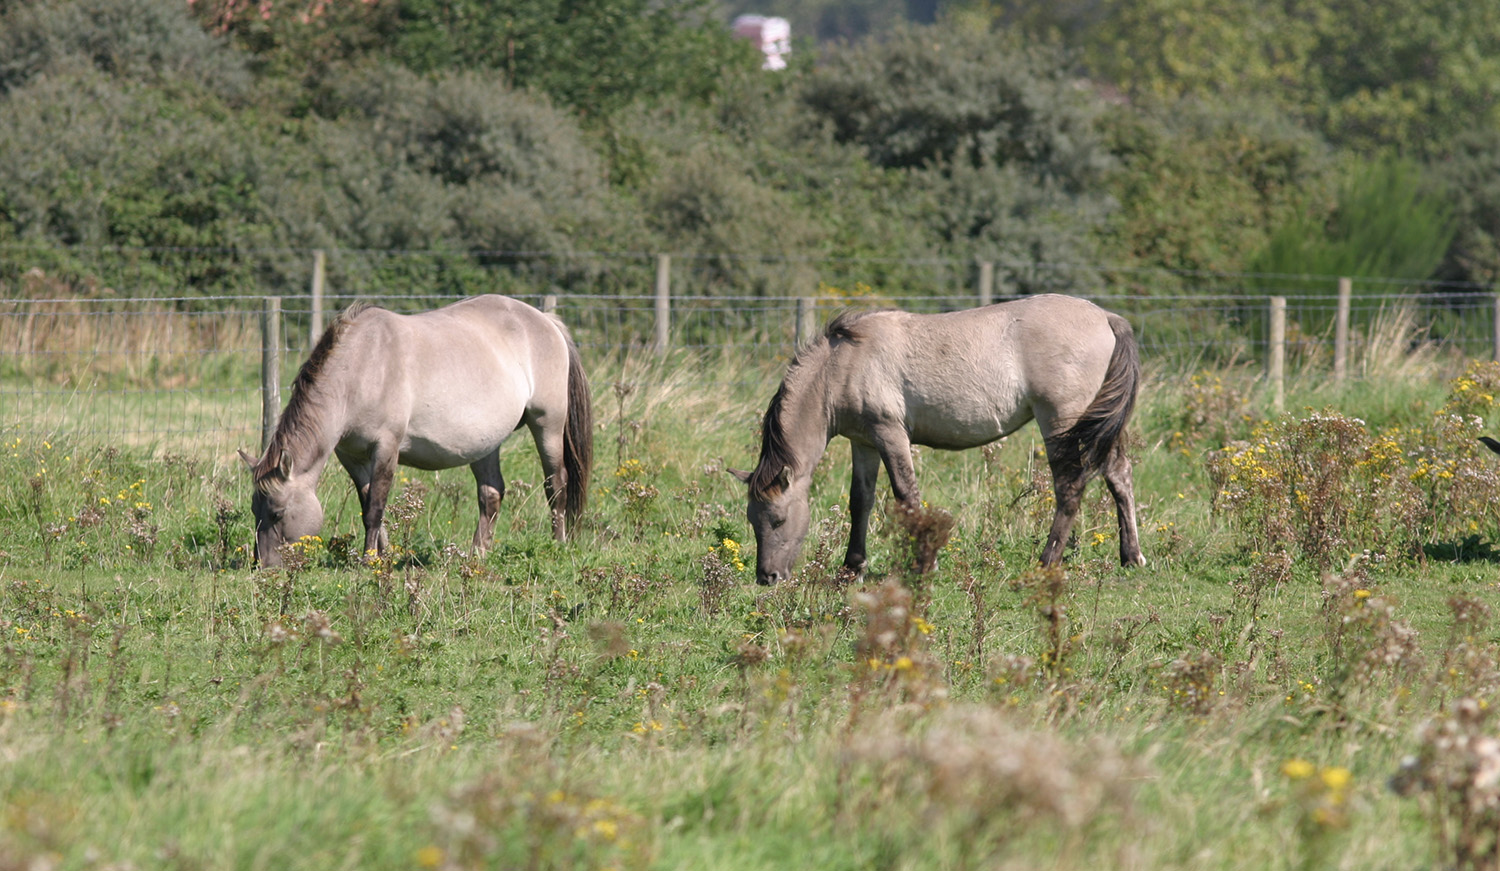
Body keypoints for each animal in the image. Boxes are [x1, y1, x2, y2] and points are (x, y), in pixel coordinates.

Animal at [240, 295, 591, 566]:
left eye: (277, 513)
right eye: (255, 509)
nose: (264, 566)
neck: (360, 368)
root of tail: (545, 320)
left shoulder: (386, 447)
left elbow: (376, 507)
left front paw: (369, 560)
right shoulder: (351, 456)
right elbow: (367, 503)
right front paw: (382, 555)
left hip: (547, 424)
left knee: (556, 485)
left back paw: (557, 545)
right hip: (485, 442)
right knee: (491, 494)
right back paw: (477, 555)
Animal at [732, 292, 1140, 584]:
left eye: (778, 519)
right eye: (752, 520)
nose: (767, 577)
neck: (842, 364)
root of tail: (1107, 317)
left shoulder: (889, 434)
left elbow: (907, 496)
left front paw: (925, 565)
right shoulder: (863, 442)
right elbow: (860, 502)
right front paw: (851, 569)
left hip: (1060, 424)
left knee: (1070, 488)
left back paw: (1046, 562)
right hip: (1099, 427)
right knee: (1119, 475)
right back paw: (1131, 557)